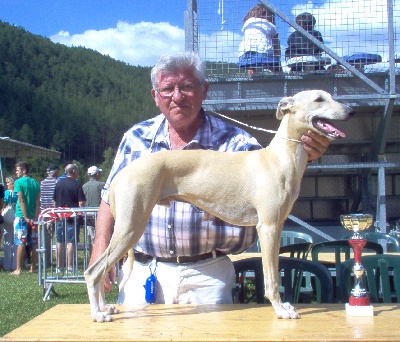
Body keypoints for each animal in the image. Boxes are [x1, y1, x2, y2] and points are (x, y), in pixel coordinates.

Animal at [83, 89, 354, 322]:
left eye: (331, 96)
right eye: (319, 99)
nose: (350, 110)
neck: (279, 158)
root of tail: (120, 175)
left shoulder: (275, 226)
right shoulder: (268, 227)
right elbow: (272, 278)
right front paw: (281, 310)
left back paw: (105, 307)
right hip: (130, 227)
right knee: (93, 271)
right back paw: (97, 313)